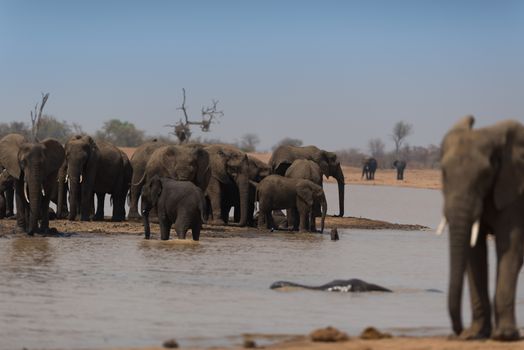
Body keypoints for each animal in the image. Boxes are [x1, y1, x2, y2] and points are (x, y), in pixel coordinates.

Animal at [438, 116, 524, 340]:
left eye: (485, 174)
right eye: (443, 173)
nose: (457, 331)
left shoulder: (516, 194)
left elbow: (509, 247)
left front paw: (504, 336)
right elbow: (474, 251)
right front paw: (474, 334)